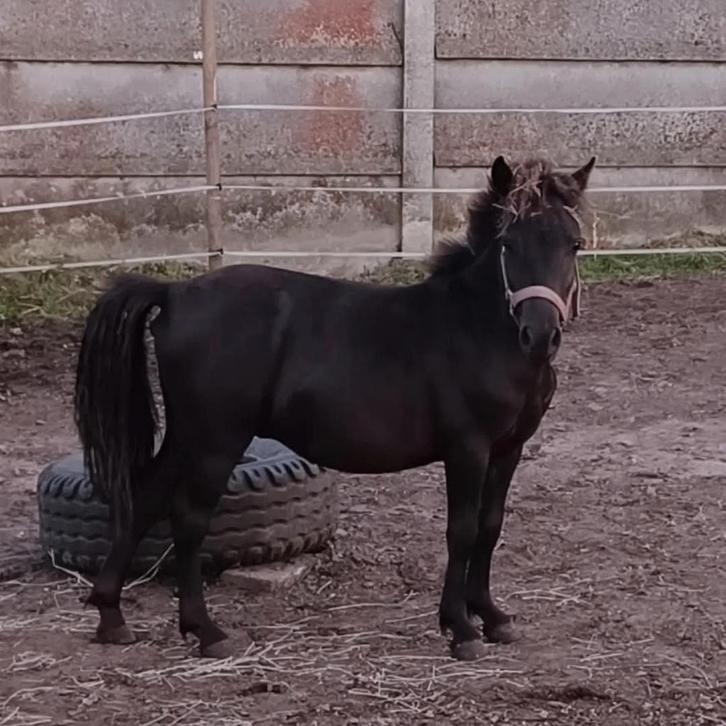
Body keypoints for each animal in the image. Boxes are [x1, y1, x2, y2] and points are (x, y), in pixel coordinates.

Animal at [74, 154, 596, 661]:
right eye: (508, 244)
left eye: (574, 245)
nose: (540, 335)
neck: (475, 329)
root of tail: (173, 294)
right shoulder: (467, 447)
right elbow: (462, 530)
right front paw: (460, 628)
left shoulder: (508, 448)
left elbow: (489, 527)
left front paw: (491, 616)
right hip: (217, 440)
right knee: (188, 520)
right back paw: (206, 631)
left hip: (189, 435)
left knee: (145, 500)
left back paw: (112, 616)